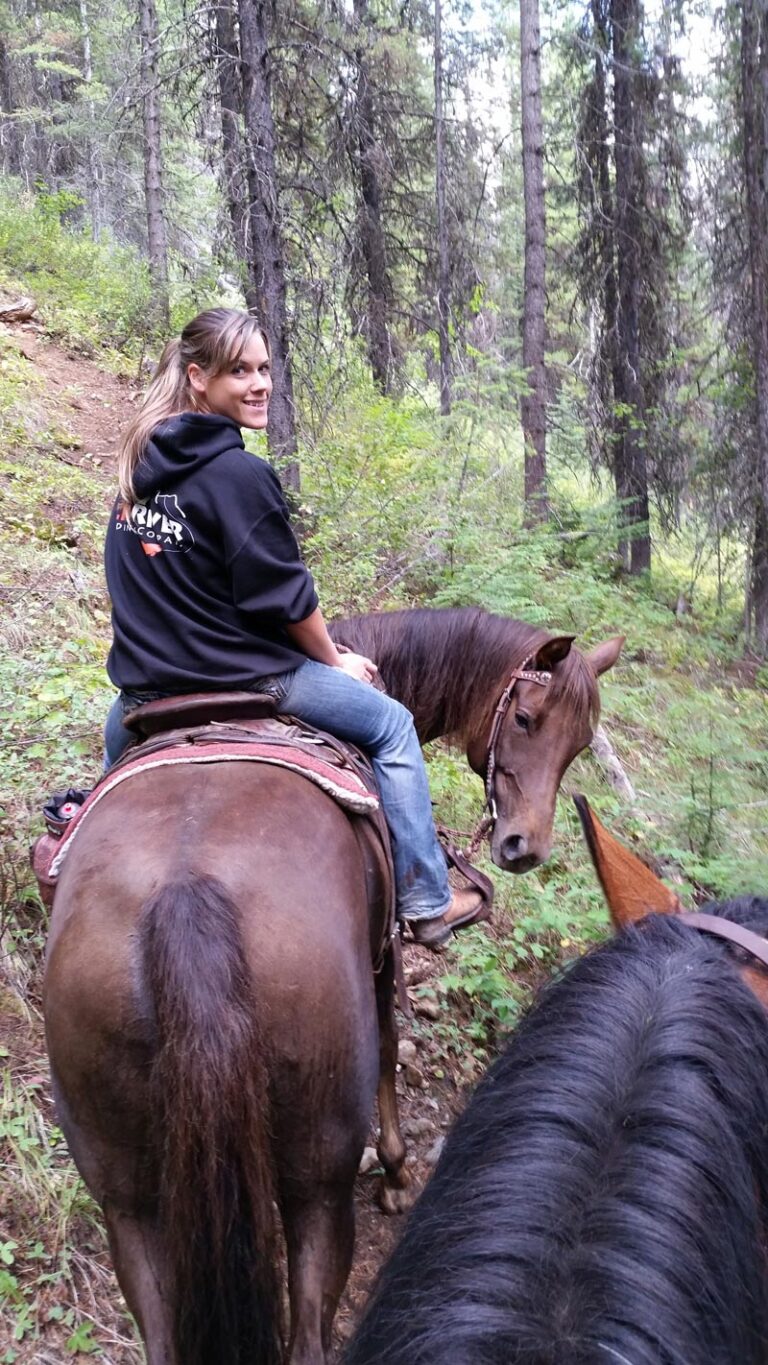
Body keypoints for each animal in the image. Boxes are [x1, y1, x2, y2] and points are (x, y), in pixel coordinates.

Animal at [42, 608, 624, 1365]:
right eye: (526, 718)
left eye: (580, 744)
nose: (525, 848)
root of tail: (187, 894)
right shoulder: (379, 958)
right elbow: (389, 1049)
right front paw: (399, 1176)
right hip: (319, 1178)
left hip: (126, 1192)